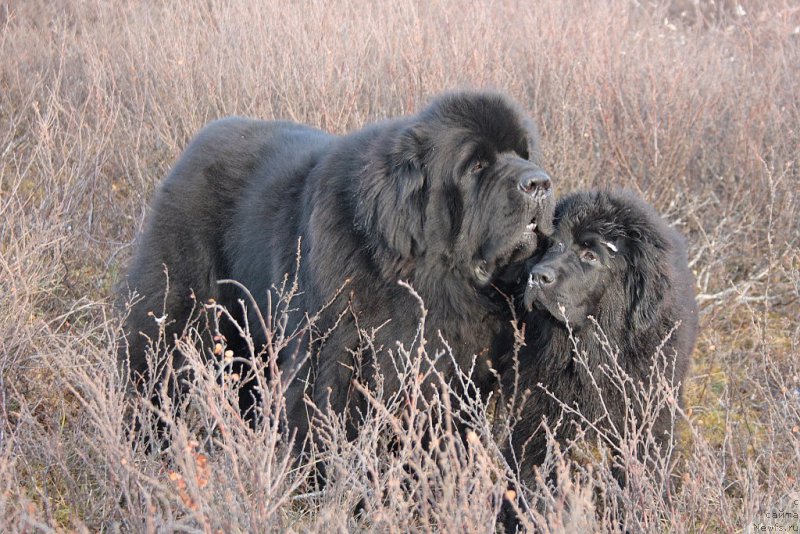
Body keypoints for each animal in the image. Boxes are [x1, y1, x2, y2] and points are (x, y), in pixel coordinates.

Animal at [120, 92, 556, 452]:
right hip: (178, 311)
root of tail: (196, 144)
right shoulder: (331, 364)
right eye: (476, 165)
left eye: (526, 153)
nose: (539, 182)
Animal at [504, 192, 696, 528]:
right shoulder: (539, 409)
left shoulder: (647, 415)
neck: (591, 350)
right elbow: (535, 466)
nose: (537, 277)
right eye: (554, 245)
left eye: (590, 255)